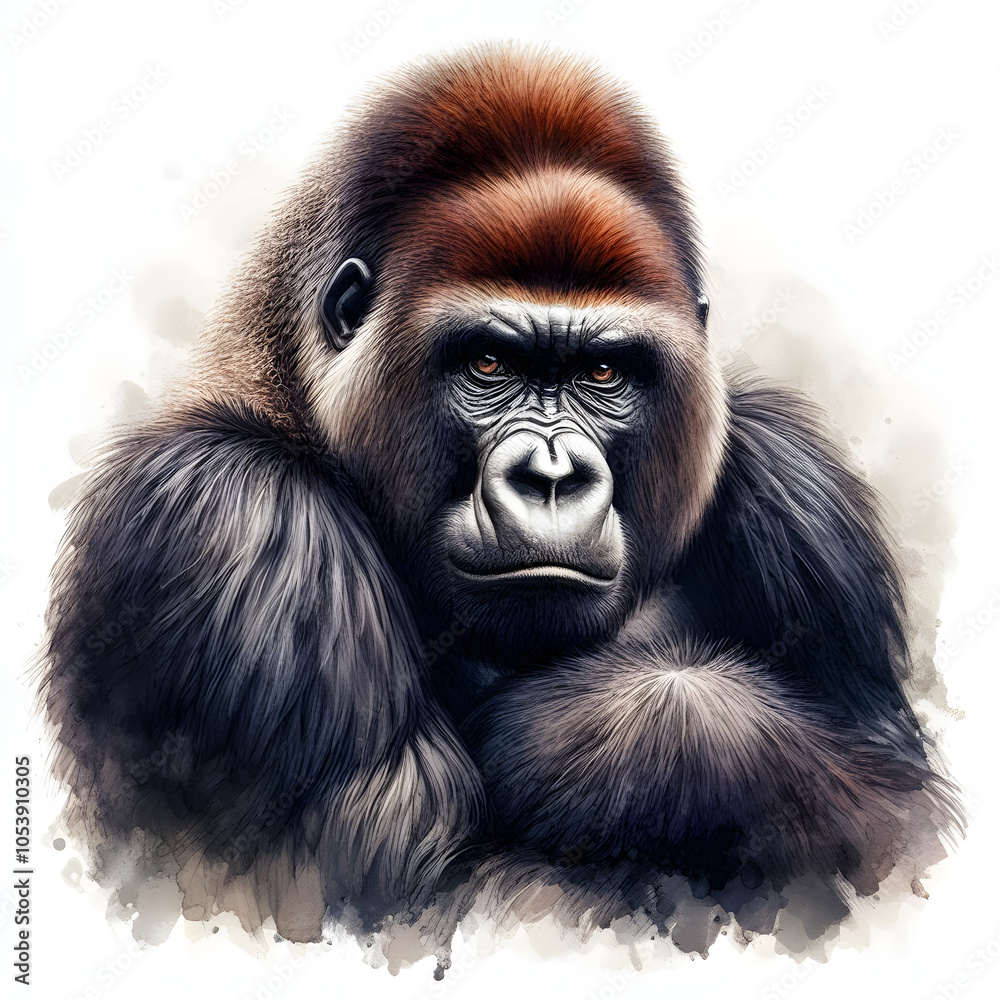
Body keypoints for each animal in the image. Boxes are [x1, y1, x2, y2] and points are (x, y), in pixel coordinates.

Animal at [38, 42, 961, 958]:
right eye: (488, 364)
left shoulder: (799, 486)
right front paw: (647, 731)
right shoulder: (229, 518)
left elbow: (899, 813)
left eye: (603, 373)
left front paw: (627, 734)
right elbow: (376, 892)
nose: (550, 478)